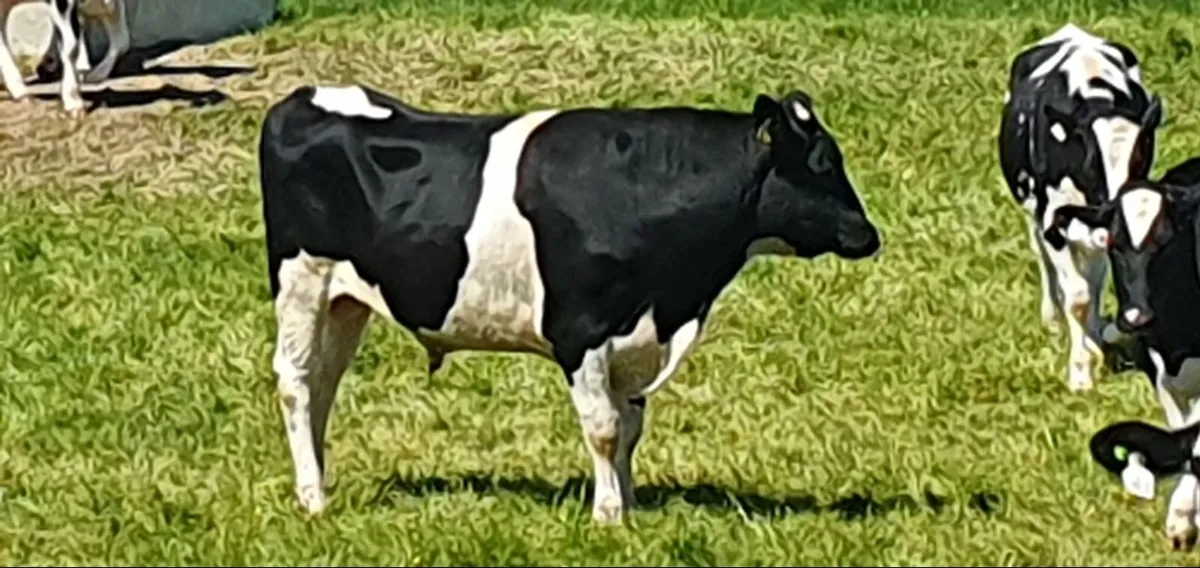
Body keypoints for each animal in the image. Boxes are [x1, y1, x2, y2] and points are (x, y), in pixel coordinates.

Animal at [258, 83, 883, 523]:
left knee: (324, 383)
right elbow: (604, 426)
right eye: (821, 164)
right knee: (296, 380)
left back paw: (318, 480)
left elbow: (631, 426)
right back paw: (312, 497)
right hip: (302, 277)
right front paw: (607, 515)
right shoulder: (582, 330)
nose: (868, 234)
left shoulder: (638, 334)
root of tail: (304, 95)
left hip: (346, 300)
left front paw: (629, 505)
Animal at [997, 22, 1162, 393]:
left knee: (1095, 274)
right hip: (1034, 211)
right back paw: (1053, 320)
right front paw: (1080, 373)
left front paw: (1093, 346)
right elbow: (1076, 295)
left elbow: (1095, 285)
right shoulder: (1051, 220)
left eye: (1141, 154)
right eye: (1090, 159)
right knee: (1044, 259)